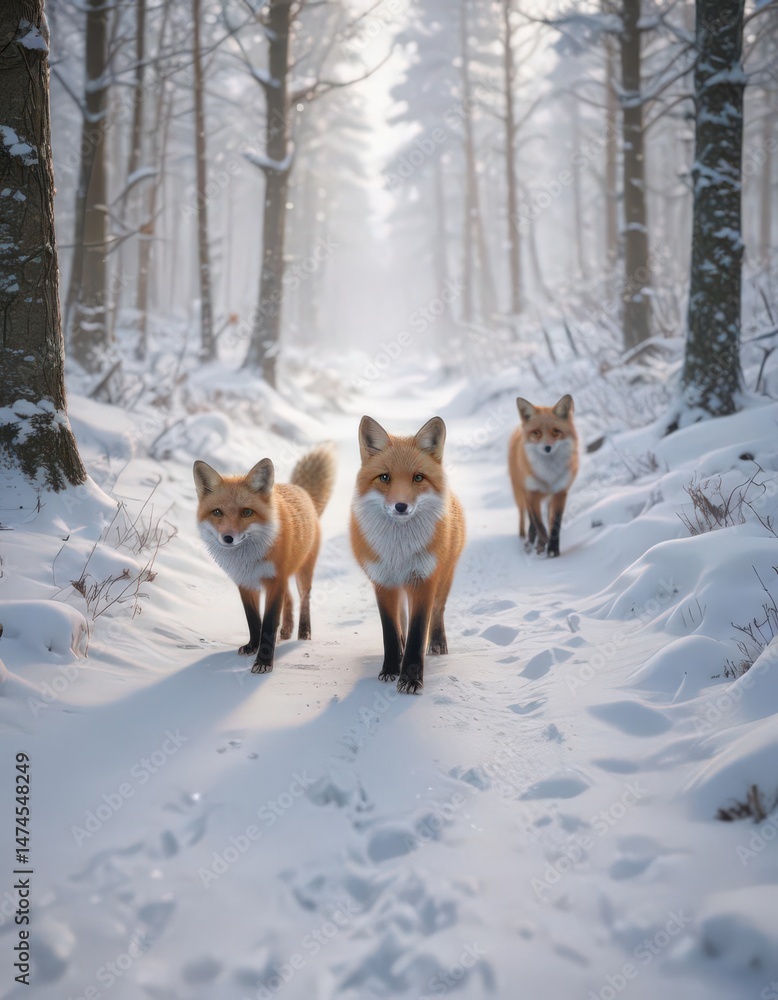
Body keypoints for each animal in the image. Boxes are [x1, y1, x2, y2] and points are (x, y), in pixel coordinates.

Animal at [193, 443, 336, 674]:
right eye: (217, 512)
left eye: (246, 512)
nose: (228, 538)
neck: (248, 560)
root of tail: (299, 489)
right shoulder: (245, 582)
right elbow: (253, 620)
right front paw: (253, 645)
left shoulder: (274, 582)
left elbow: (268, 623)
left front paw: (263, 662)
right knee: (290, 599)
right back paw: (286, 630)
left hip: (302, 573)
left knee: (304, 599)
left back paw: (303, 632)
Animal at [350, 415, 465, 694]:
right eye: (384, 477)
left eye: (418, 478)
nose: (400, 506)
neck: (399, 551)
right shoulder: (383, 582)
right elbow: (392, 631)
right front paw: (391, 669)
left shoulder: (423, 579)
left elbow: (417, 632)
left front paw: (411, 679)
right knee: (402, 617)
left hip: (444, 577)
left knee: (437, 612)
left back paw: (437, 644)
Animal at [508, 394, 578, 557]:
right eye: (536, 432)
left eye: (556, 431)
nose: (547, 448)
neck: (548, 475)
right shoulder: (531, 493)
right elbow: (539, 525)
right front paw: (541, 543)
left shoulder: (560, 492)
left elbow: (555, 524)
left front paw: (552, 549)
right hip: (520, 494)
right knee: (526, 518)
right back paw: (528, 541)